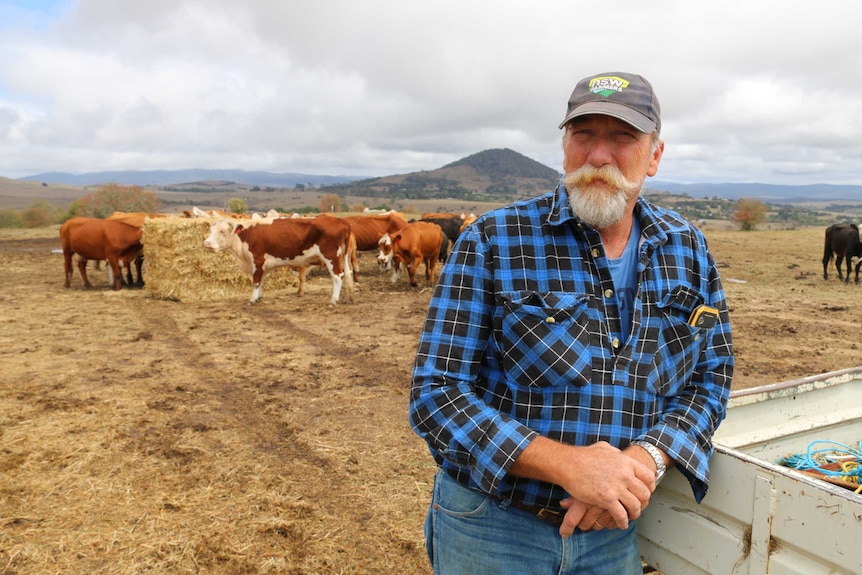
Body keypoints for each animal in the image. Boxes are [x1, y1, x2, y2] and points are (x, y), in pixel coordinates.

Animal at [202, 215, 354, 306]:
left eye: (222, 231)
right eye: (211, 230)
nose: (206, 244)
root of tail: (340, 220)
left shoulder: (257, 260)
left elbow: (256, 282)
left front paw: (252, 300)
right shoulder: (263, 265)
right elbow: (261, 281)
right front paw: (258, 298)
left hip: (331, 257)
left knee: (337, 276)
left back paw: (333, 300)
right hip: (342, 257)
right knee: (348, 274)